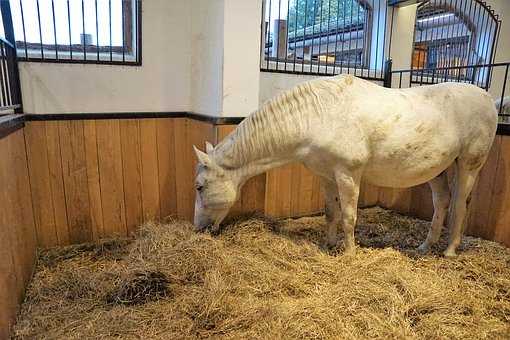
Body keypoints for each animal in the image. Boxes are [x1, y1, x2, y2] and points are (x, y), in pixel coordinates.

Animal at [193, 73, 496, 255]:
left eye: (199, 187)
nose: (198, 229)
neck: (318, 115)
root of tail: (487, 98)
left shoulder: (348, 175)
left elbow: (349, 216)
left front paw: (349, 252)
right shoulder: (326, 176)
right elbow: (331, 212)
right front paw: (328, 244)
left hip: (469, 165)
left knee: (459, 204)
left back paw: (449, 250)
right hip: (438, 169)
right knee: (442, 202)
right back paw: (425, 246)